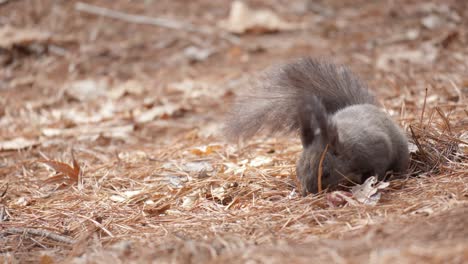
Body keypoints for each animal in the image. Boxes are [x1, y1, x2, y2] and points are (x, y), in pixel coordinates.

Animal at [225, 57, 408, 195]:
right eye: (298, 171)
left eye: (326, 174)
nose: (308, 193)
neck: (346, 148)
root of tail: (364, 105)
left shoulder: (376, 148)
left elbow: (378, 169)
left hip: (400, 150)